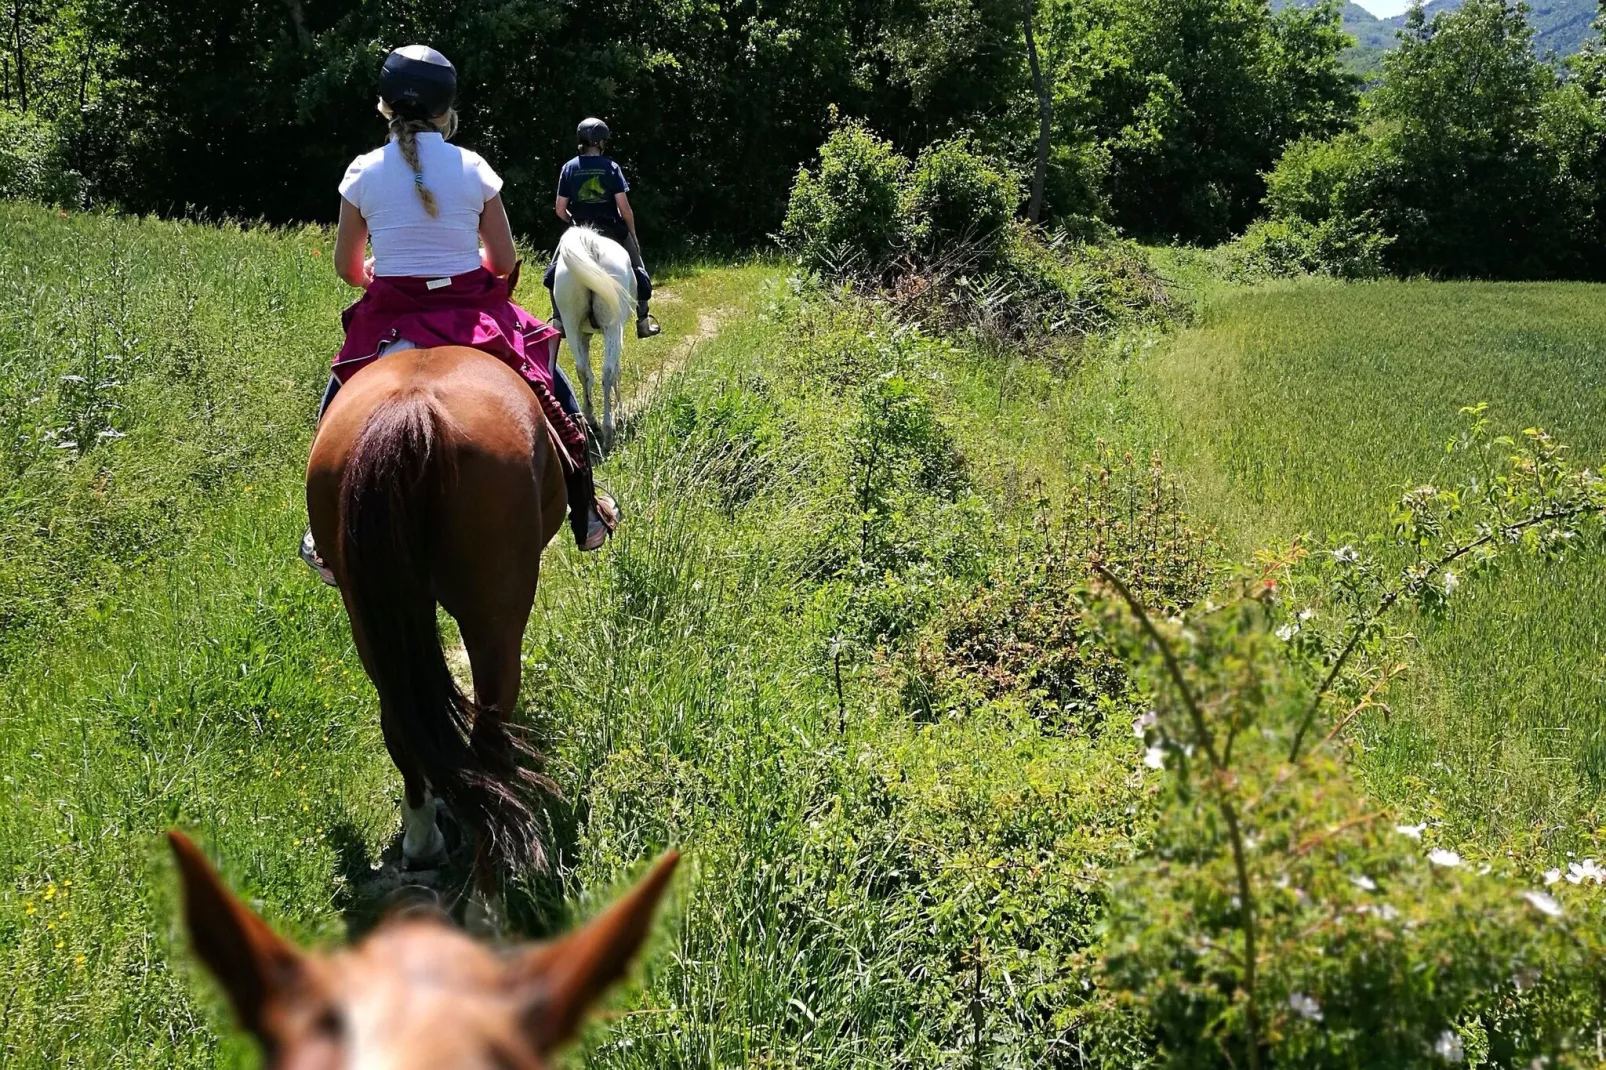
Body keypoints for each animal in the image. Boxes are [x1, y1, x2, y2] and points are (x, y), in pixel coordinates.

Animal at [306, 345, 571, 886]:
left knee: (398, 720)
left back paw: (423, 840)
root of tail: (412, 410)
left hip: (370, 619)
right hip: (494, 614)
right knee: (490, 731)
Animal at [549, 226, 629, 440]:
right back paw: (608, 427)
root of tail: (591, 245)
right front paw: (620, 409)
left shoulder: (584, 335)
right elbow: (617, 370)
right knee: (608, 372)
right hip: (612, 327)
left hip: (571, 324)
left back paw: (592, 420)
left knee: (583, 370)